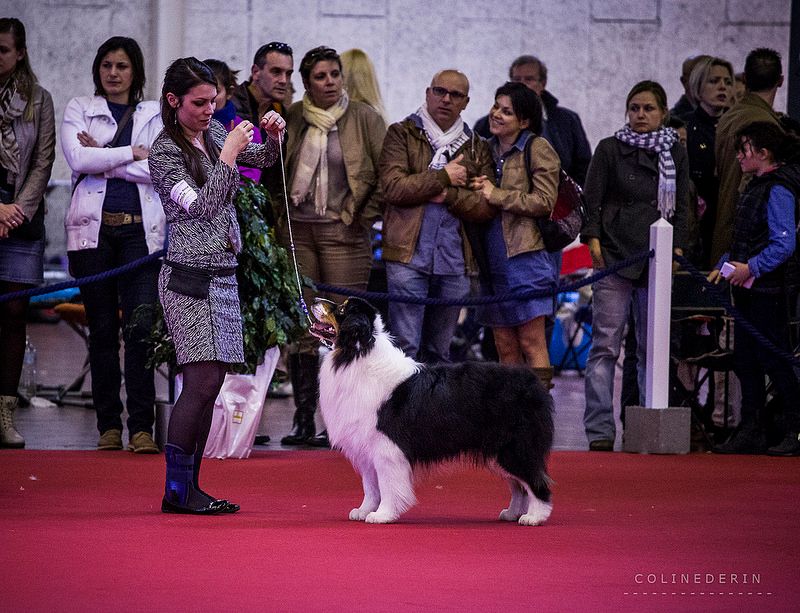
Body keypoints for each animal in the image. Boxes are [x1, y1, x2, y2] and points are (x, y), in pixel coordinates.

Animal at [310, 298, 552, 524]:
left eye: (342, 310)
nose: (314, 301)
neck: (356, 353)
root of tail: (533, 381)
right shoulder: (365, 447)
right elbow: (370, 486)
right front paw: (363, 511)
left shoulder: (387, 448)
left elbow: (387, 485)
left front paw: (382, 515)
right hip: (497, 452)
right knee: (518, 485)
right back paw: (511, 513)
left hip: (515, 447)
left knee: (536, 481)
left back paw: (534, 516)